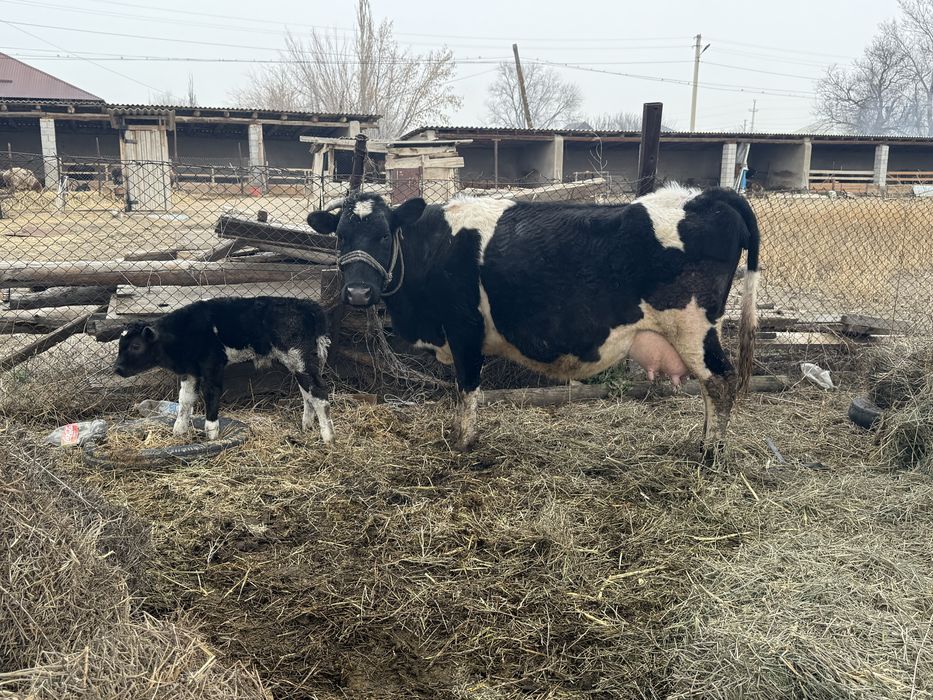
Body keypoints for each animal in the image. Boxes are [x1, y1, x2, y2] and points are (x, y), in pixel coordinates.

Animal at [114, 297, 334, 443]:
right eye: (119, 344)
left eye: (136, 346)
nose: (117, 368)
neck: (183, 334)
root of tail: (307, 306)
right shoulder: (190, 371)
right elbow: (185, 400)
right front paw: (179, 431)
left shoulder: (212, 364)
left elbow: (211, 394)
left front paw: (211, 434)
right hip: (299, 360)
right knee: (307, 393)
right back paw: (307, 426)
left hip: (298, 356)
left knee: (319, 392)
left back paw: (328, 437)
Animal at [307, 184, 760, 457]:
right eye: (341, 237)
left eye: (384, 236)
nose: (358, 293)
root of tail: (703, 197)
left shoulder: (464, 329)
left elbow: (467, 390)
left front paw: (464, 443)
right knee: (711, 388)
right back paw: (703, 444)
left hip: (693, 327)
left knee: (720, 383)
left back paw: (710, 455)